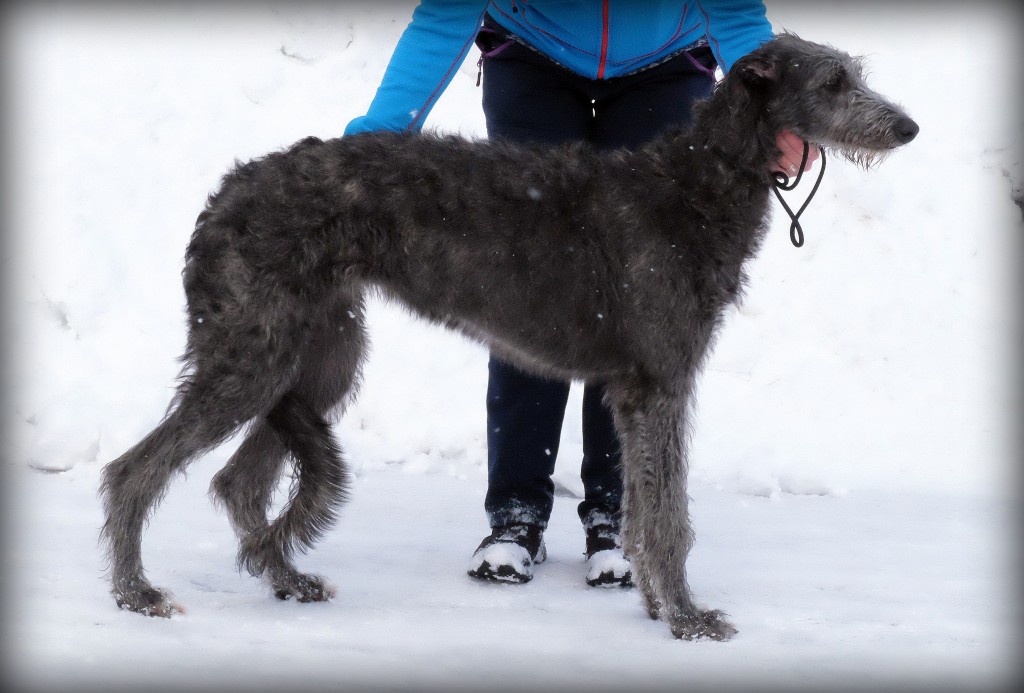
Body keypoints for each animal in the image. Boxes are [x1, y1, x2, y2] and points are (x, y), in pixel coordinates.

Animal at [99, 32, 921, 638]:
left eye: (855, 75)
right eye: (834, 82)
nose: (908, 127)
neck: (696, 182)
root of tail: (227, 191)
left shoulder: (643, 390)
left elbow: (648, 507)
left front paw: (657, 603)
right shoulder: (660, 380)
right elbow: (669, 514)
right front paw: (687, 617)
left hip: (319, 356)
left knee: (237, 479)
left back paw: (286, 577)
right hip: (254, 351)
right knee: (134, 468)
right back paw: (138, 593)